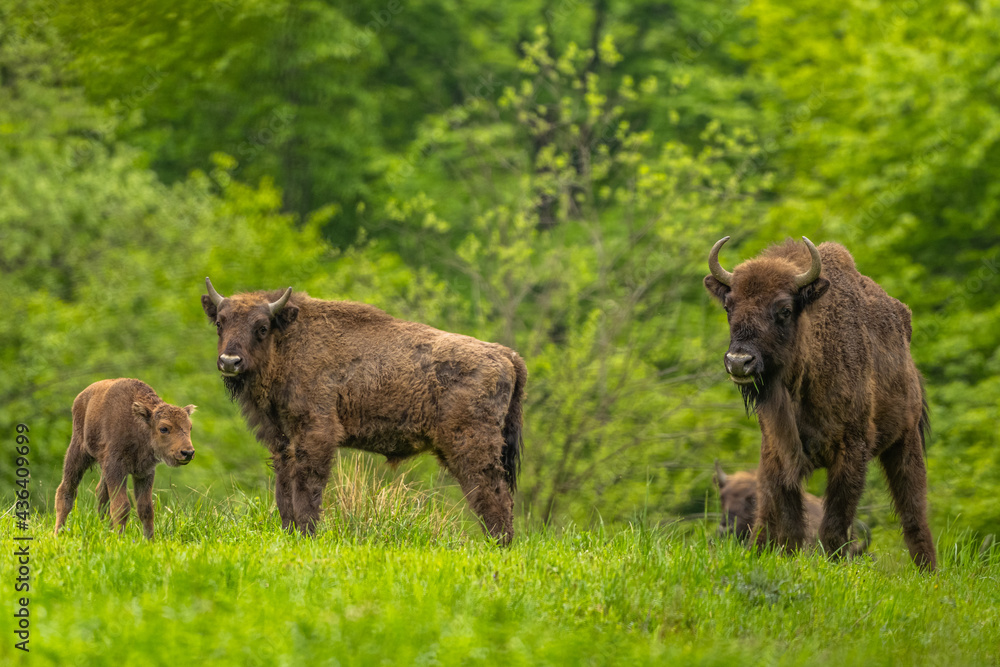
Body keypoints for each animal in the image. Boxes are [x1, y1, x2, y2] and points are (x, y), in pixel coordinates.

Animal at [52, 378, 197, 540]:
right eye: (164, 428)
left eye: (190, 427)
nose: (187, 452)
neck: (139, 425)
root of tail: (81, 397)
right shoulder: (116, 467)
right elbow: (122, 507)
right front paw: (120, 539)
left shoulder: (144, 472)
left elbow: (146, 508)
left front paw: (149, 540)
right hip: (78, 453)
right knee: (67, 490)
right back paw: (58, 533)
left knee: (101, 494)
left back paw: (106, 531)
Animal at [204, 280, 532, 544]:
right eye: (220, 323)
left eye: (261, 327)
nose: (230, 361)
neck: (288, 342)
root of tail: (506, 355)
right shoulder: (282, 442)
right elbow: (284, 492)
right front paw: (290, 533)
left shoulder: (316, 434)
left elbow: (307, 489)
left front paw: (307, 535)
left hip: (471, 446)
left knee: (493, 496)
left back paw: (498, 546)